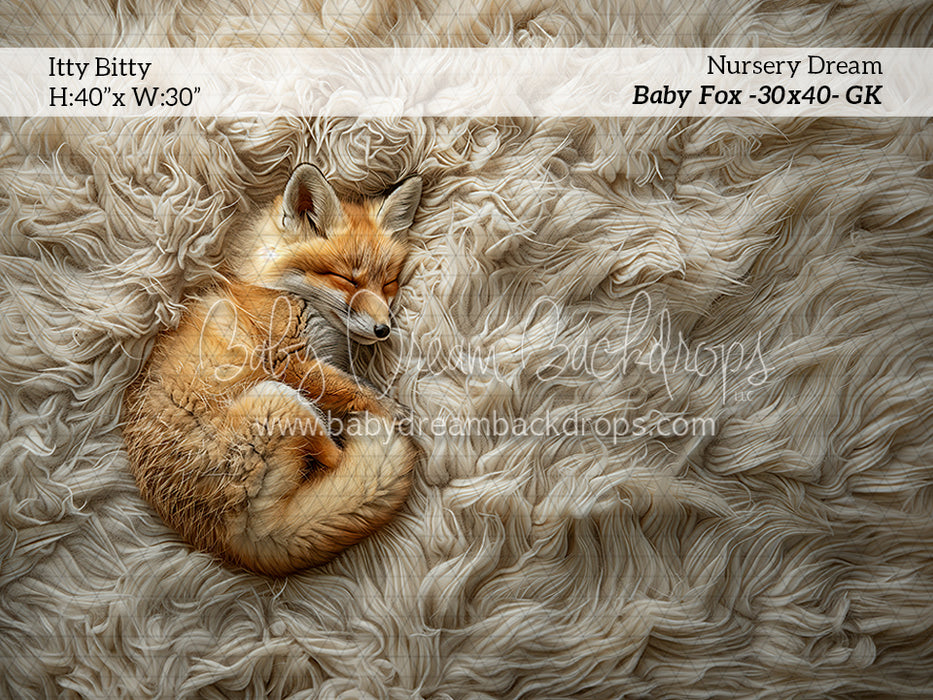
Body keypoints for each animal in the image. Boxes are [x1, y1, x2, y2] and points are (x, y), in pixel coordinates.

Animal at [122, 164, 423, 576]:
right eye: (347, 279)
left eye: (389, 281)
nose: (383, 330)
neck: (279, 290)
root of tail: (226, 540)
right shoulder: (289, 362)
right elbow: (355, 390)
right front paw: (393, 409)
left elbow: (351, 383)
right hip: (279, 400)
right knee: (335, 458)